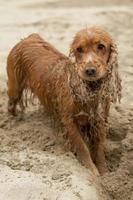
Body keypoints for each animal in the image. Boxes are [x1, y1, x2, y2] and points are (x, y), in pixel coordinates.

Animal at [6, 27, 121, 176]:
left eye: (101, 46)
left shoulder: (100, 119)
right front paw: (91, 170)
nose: (89, 70)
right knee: (11, 105)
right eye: (79, 49)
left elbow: (99, 147)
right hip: (14, 88)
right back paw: (14, 123)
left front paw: (104, 172)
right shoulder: (69, 121)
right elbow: (82, 146)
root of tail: (29, 38)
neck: (89, 90)